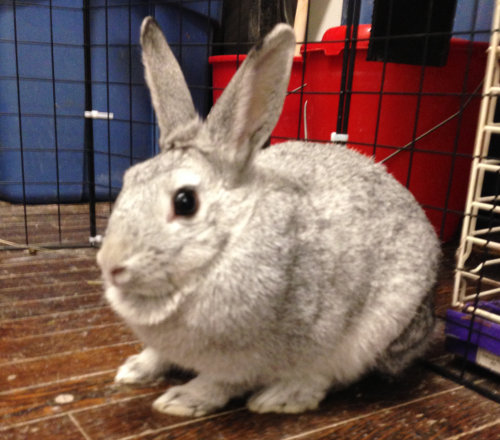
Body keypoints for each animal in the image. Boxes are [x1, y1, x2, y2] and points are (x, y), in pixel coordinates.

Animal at [95, 16, 440, 416]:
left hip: (374, 331)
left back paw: (281, 397)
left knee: (333, 375)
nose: (111, 265)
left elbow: (221, 382)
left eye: (185, 202)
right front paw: (133, 369)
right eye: (129, 179)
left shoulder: (247, 361)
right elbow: (158, 354)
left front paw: (183, 400)